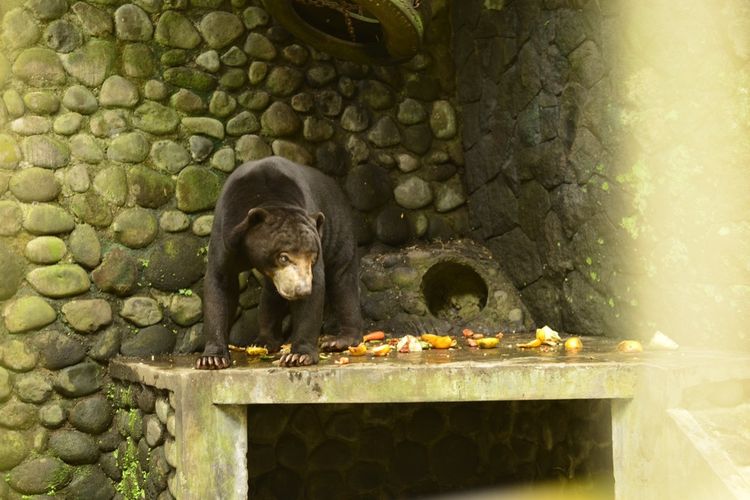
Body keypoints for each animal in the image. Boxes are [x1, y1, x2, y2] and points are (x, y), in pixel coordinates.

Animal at [197, 157, 364, 372]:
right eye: (283, 257)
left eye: (312, 257)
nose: (301, 289)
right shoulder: (225, 236)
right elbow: (220, 284)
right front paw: (212, 359)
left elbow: (316, 290)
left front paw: (298, 356)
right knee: (271, 296)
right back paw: (264, 341)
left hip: (339, 230)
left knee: (343, 282)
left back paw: (340, 340)